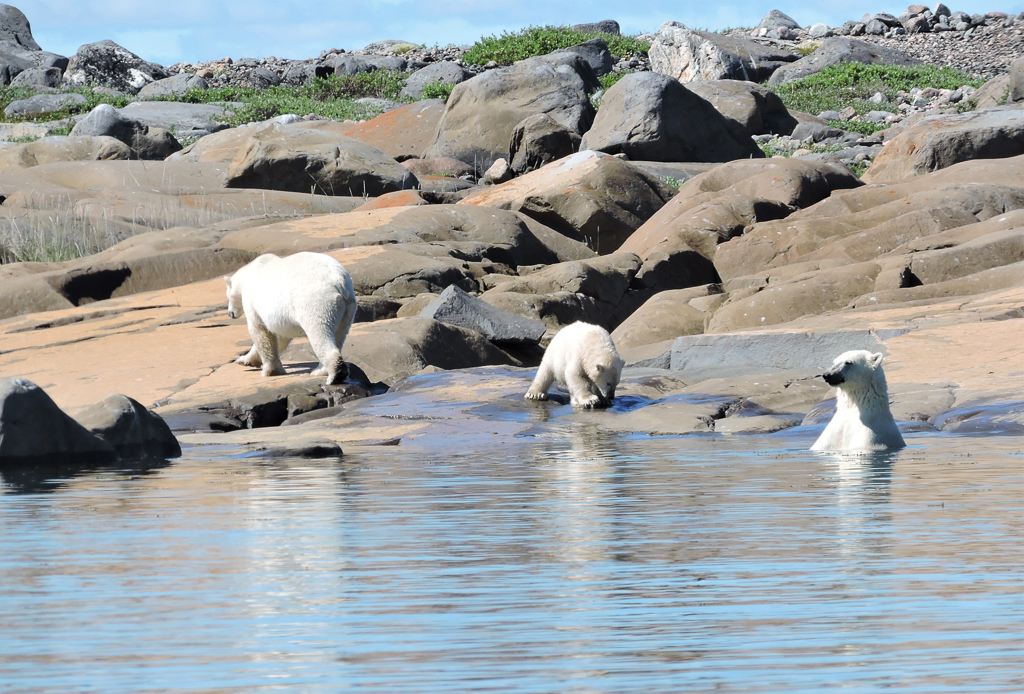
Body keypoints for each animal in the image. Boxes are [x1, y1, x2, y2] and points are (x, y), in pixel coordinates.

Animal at [225, 252, 357, 386]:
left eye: (227, 297)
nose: (230, 313)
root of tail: (340, 282)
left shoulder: (252, 301)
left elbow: (260, 332)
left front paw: (270, 371)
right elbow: (280, 337)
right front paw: (244, 360)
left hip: (317, 301)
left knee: (319, 332)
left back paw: (334, 375)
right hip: (348, 308)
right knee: (339, 334)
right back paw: (320, 371)